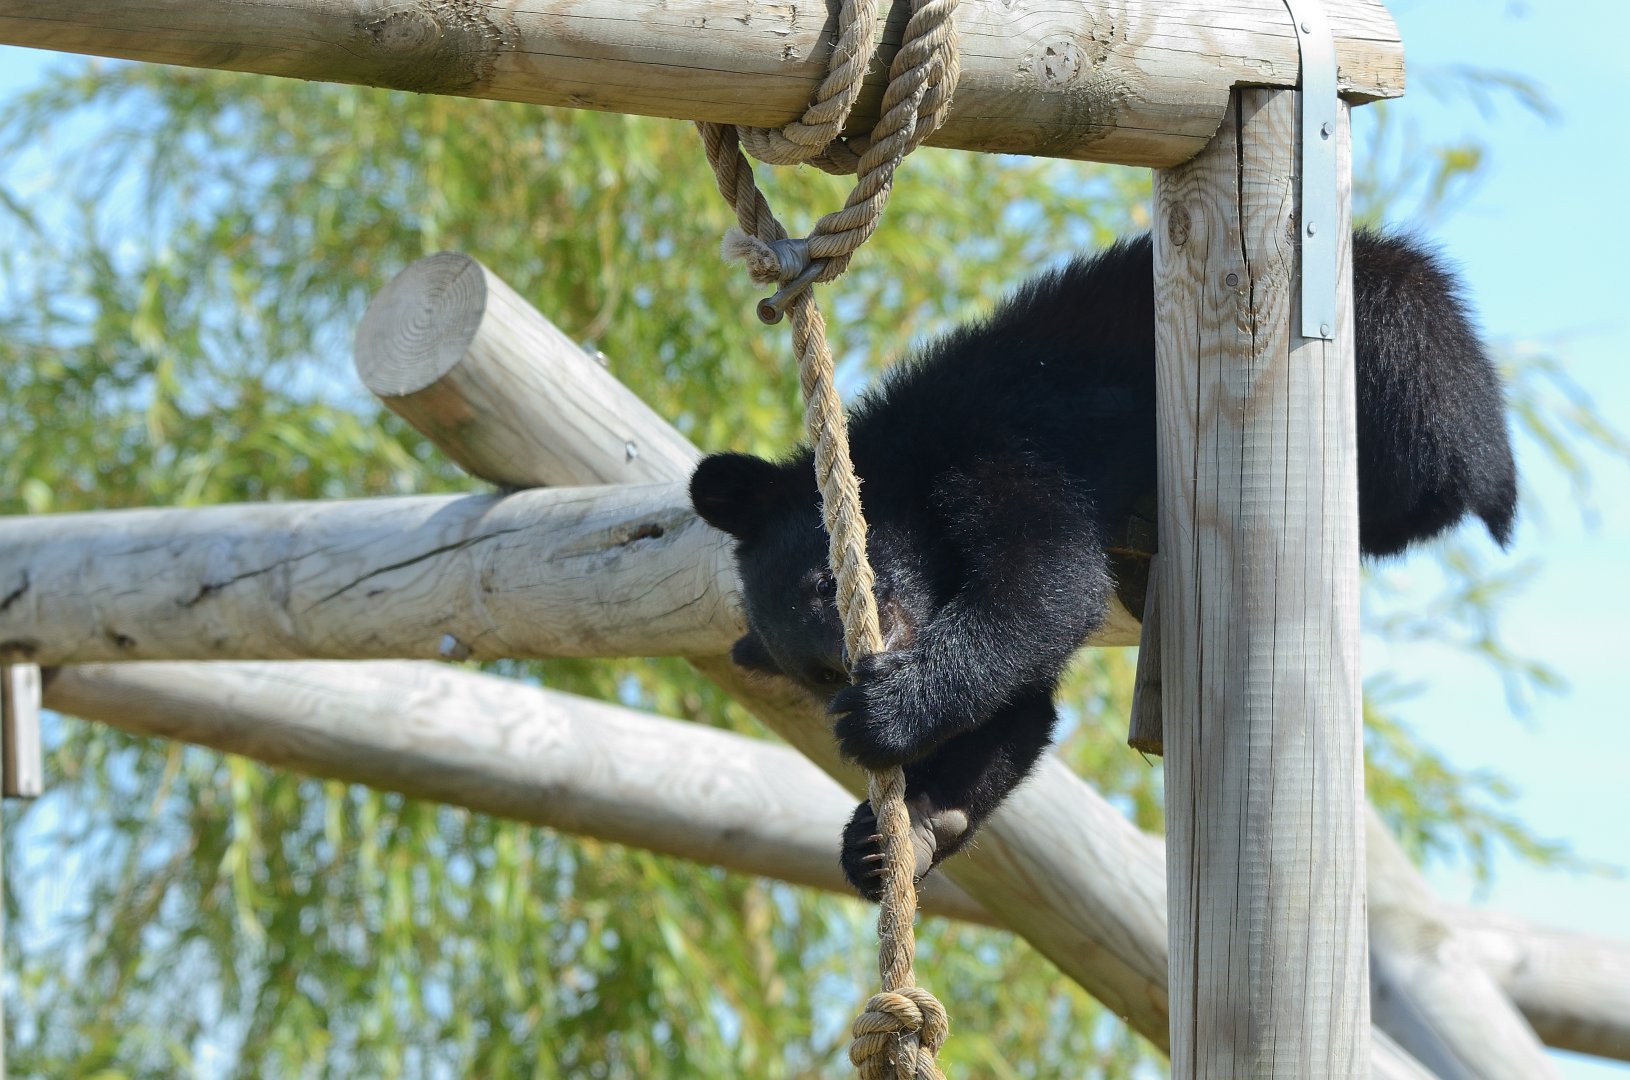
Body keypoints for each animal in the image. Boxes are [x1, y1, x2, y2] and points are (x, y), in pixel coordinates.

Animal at [689, 231, 1517, 901]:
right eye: (819, 672)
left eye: (827, 581)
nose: (867, 656)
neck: (911, 464)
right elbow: (1021, 709)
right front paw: (902, 829)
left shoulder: (1005, 440)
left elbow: (1044, 578)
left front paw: (889, 712)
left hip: (1391, 338)